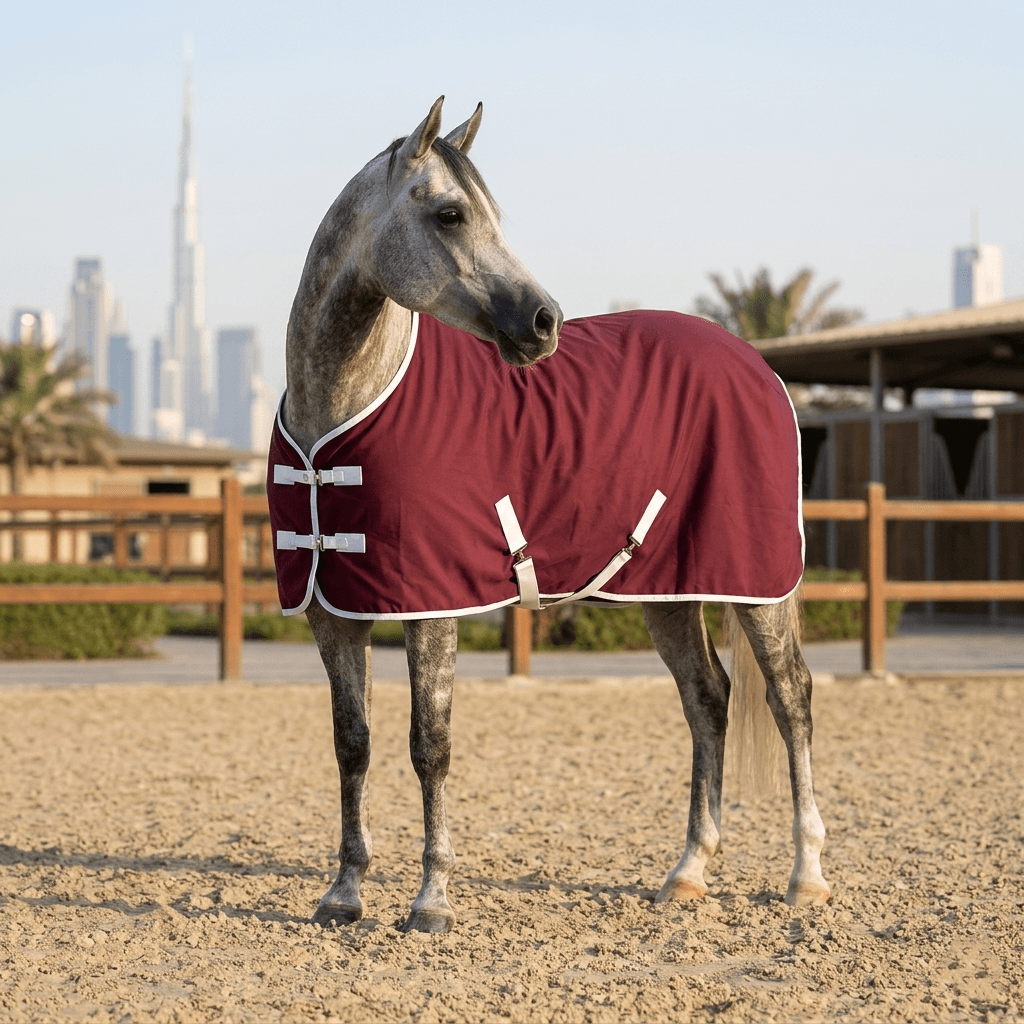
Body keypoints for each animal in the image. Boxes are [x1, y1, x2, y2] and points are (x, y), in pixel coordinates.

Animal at [275, 96, 828, 934]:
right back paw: (688, 873)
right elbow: (353, 743)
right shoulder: (332, 610)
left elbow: (429, 745)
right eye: (449, 214)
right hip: (669, 589)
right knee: (708, 699)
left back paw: (806, 874)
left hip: (757, 582)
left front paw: (431, 901)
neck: (338, 415)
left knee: (789, 698)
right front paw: (343, 892)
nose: (543, 322)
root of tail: (755, 364)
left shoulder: (431, 606)